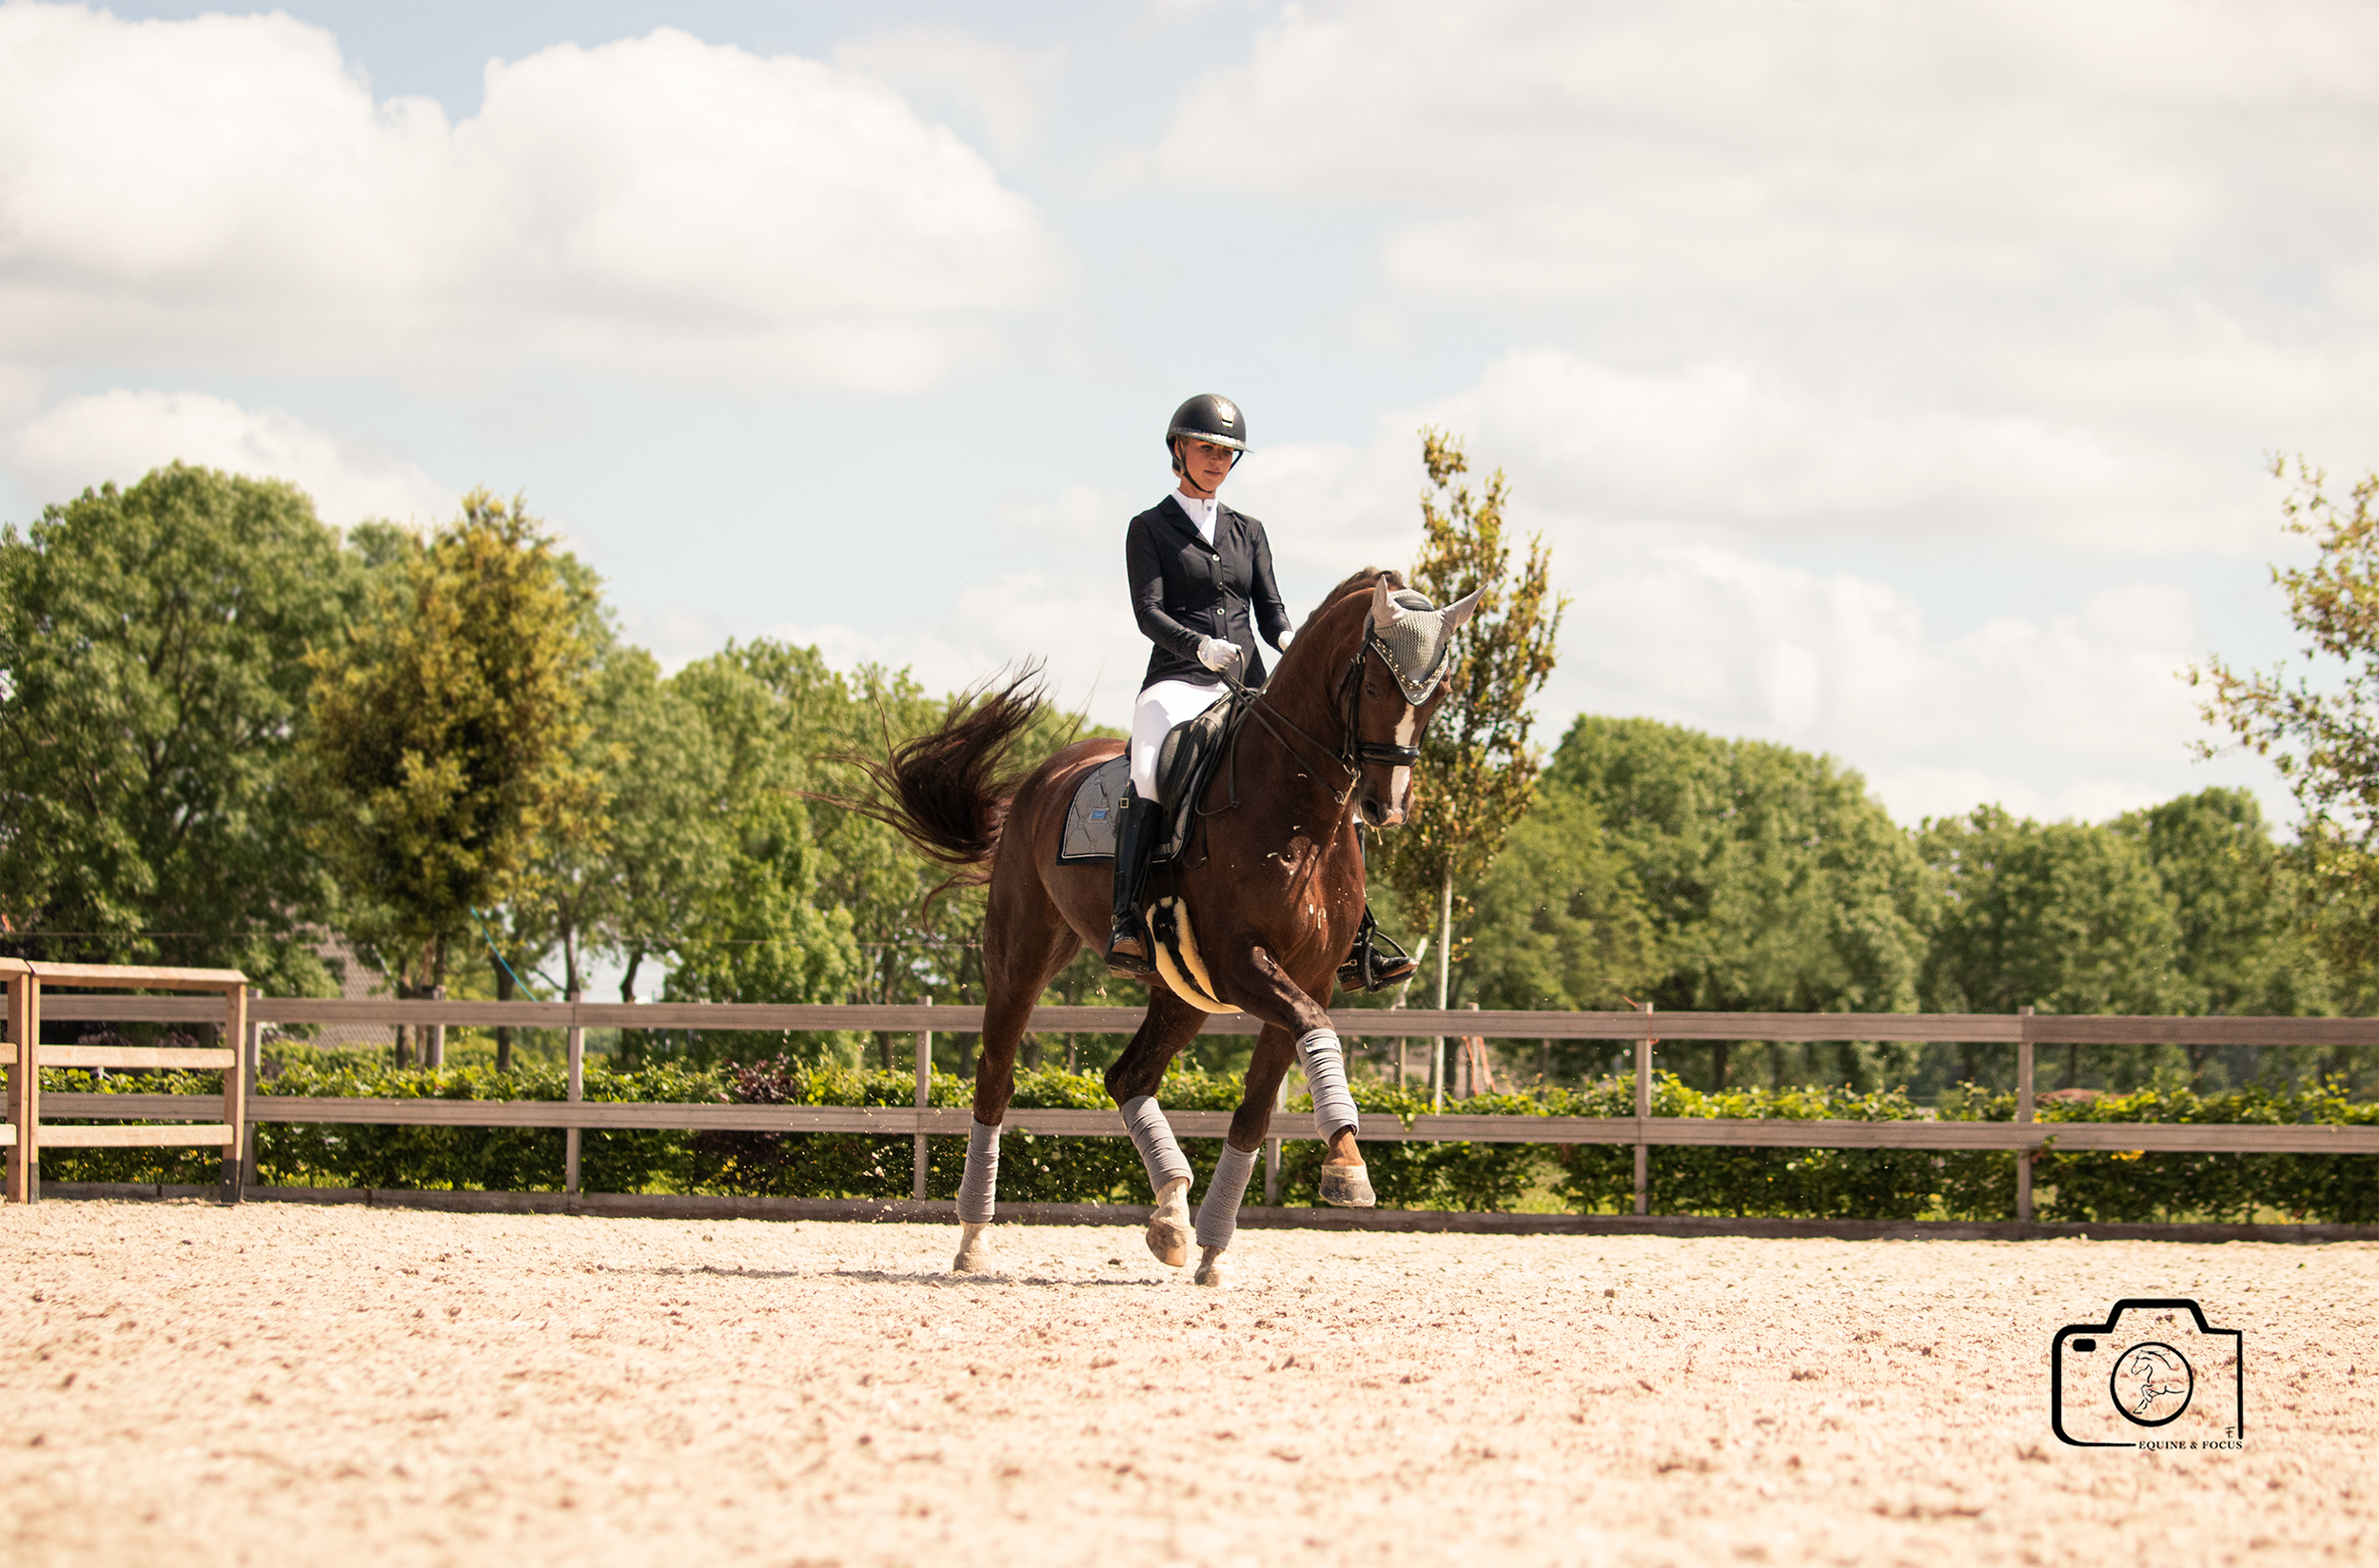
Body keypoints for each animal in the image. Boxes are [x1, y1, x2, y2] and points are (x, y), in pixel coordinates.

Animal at [853, 567, 1481, 1286]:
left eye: (1440, 695)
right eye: (1375, 684)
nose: (1386, 808)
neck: (1297, 814)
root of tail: (1044, 777)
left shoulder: (1309, 976)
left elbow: (1258, 1107)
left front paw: (1216, 1244)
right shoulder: (1244, 965)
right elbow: (1312, 1031)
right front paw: (1347, 1169)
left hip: (1183, 993)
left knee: (1128, 1079)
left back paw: (1173, 1218)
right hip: (1022, 958)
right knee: (996, 1077)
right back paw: (974, 1240)